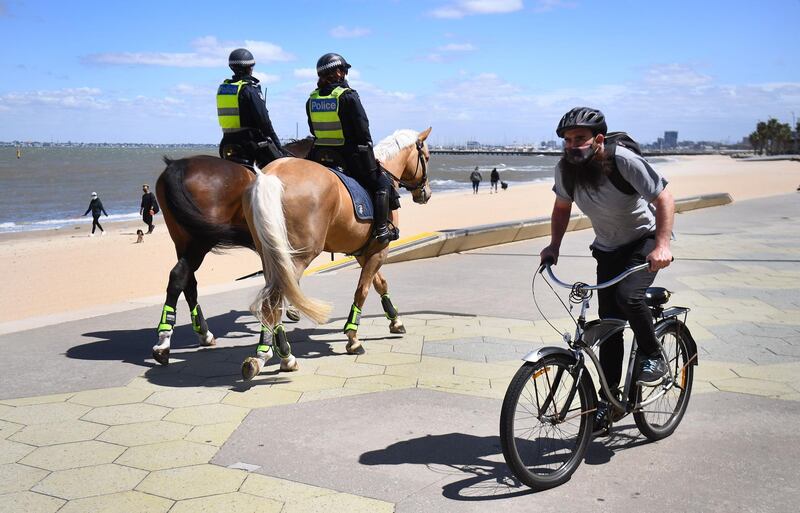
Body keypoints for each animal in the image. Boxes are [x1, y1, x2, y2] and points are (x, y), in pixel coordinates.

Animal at [150, 137, 312, 364]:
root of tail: (178, 165)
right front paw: (292, 309)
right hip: (201, 240)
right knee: (179, 275)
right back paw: (164, 341)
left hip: (182, 239)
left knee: (187, 281)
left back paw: (203, 333)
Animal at [242, 126, 434, 378]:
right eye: (427, 158)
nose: (426, 193)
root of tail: (271, 175)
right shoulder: (379, 250)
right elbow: (362, 290)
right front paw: (353, 338)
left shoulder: (364, 251)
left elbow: (380, 283)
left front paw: (395, 320)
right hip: (296, 258)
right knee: (273, 302)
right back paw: (279, 356)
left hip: (270, 256)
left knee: (272, 300)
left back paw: (269, 353)